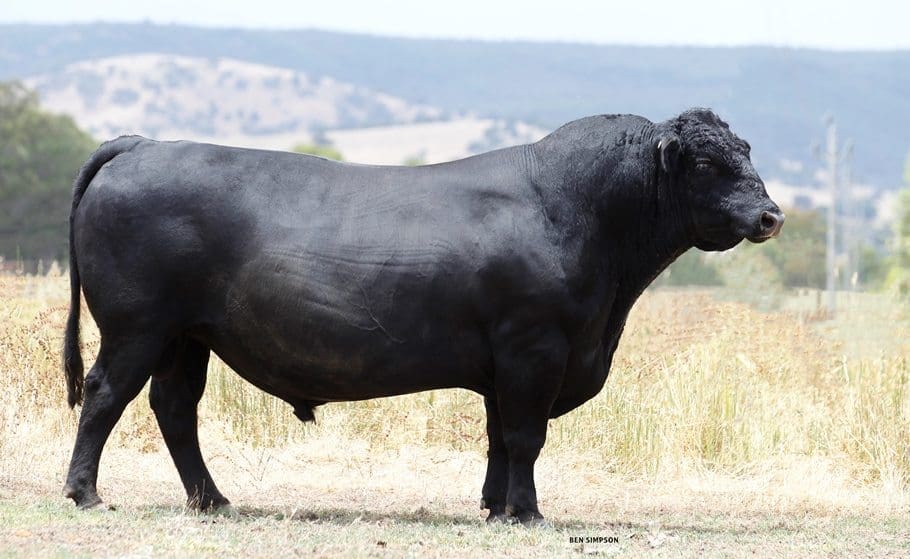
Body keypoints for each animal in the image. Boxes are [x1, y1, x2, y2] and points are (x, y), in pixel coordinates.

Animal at [62, 108, 783, 524]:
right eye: (708, 162)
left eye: (749, 151)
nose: (771, 214)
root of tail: (144, 144)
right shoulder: (534, 349)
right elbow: (526, 435)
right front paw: (527, 513)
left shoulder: (506, 363)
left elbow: (499, 437)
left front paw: (494, 505)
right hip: (137, 326)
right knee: (105, 394)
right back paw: (86, 493)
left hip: (187, 336)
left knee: (174, 408)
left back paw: (211, 500)